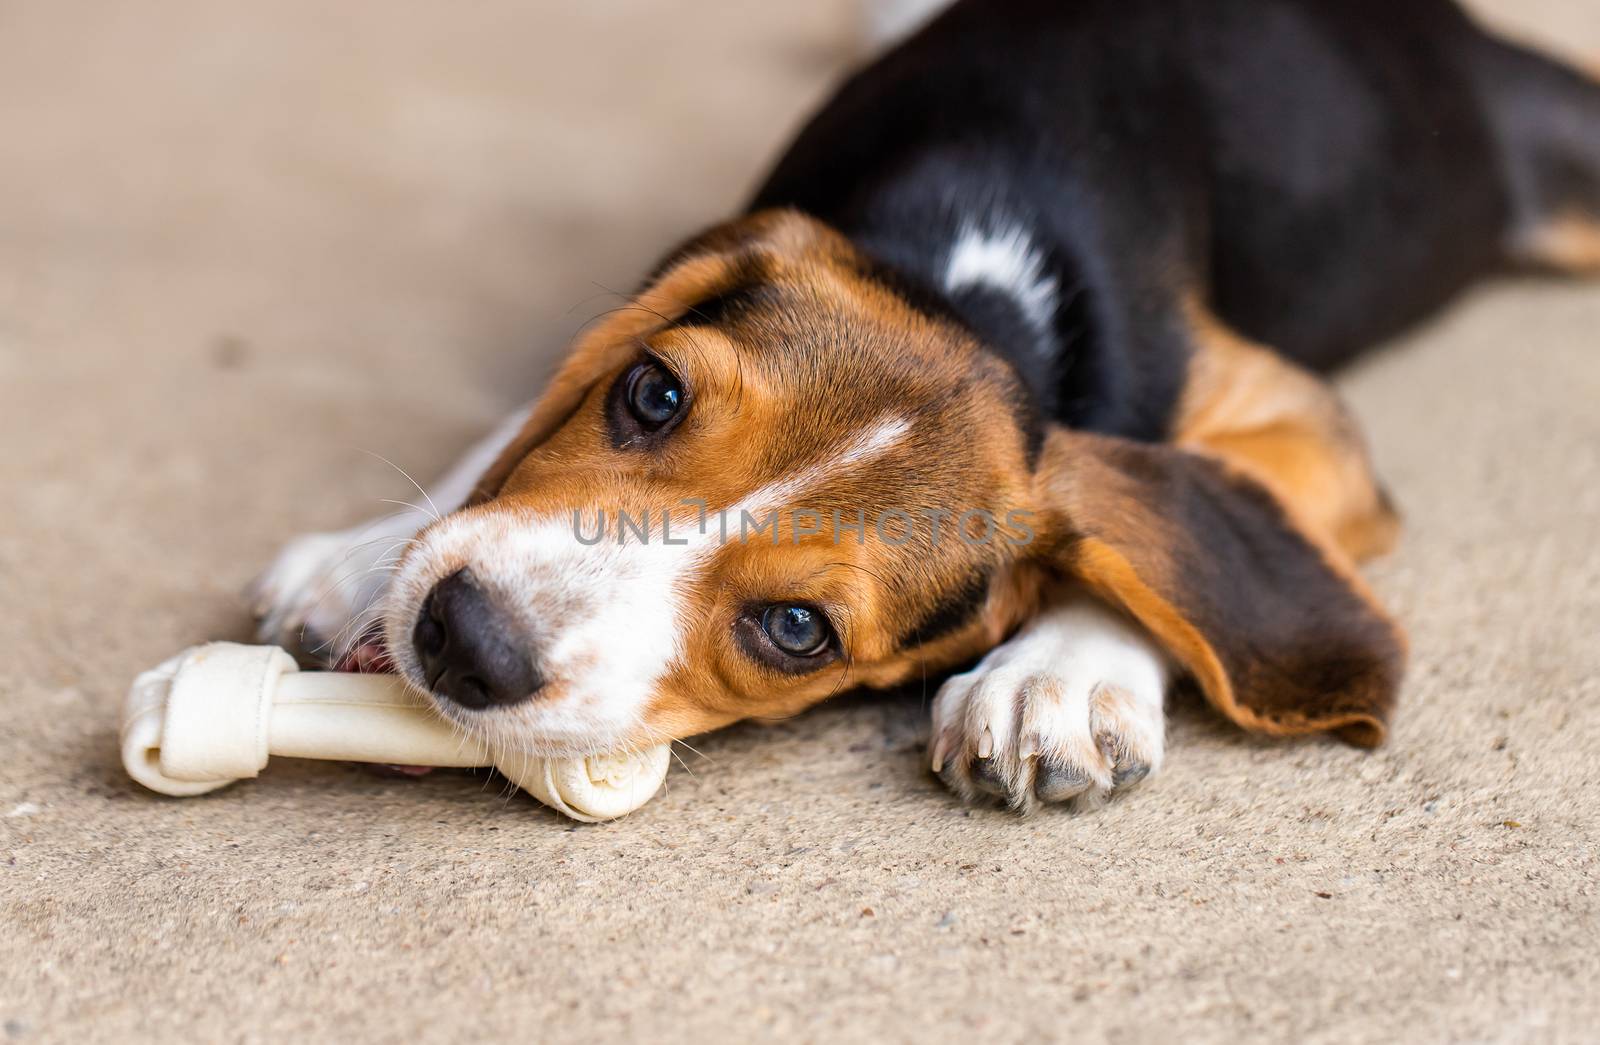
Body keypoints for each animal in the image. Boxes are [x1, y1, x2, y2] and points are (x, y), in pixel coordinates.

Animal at [246, 0, 1600, 809]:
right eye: (651, 392)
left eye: (797, 630)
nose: (464, 638)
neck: (974, 283)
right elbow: (534, 399)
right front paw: (366, 555)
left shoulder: (1306, 424)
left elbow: (1128, 535)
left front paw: (1059, 674)